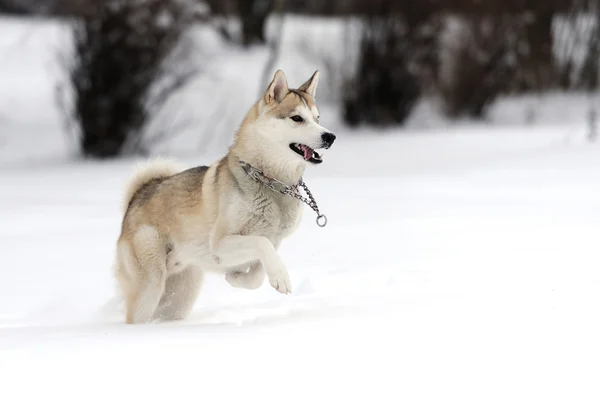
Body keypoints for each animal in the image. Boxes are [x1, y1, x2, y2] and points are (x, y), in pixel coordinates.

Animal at [114, 70, 336, 324]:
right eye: (297, 118)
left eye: (317, 118)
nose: (330, 136)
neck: (269, 182)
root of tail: (137, 195)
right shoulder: (221, 243)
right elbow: (260, 243)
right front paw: (280, 277)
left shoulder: (276, 241)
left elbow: (258, 274)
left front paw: (237, 277)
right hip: (151, 285)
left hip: (180, 296)